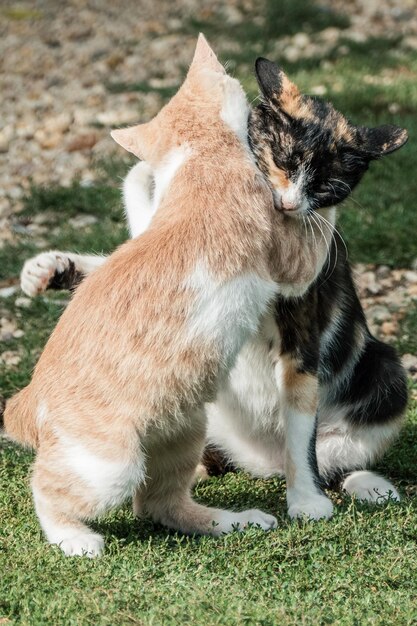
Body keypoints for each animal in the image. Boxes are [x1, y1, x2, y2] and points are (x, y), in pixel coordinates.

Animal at [4, 36, 326, 552]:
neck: (198, 152)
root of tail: (28, 397)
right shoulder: (293, 258)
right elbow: (318, 230)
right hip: (112, 467)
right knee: (47, 490)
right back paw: (73, 537)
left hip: (183, 429)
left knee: (160, 505)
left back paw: (232, 520)